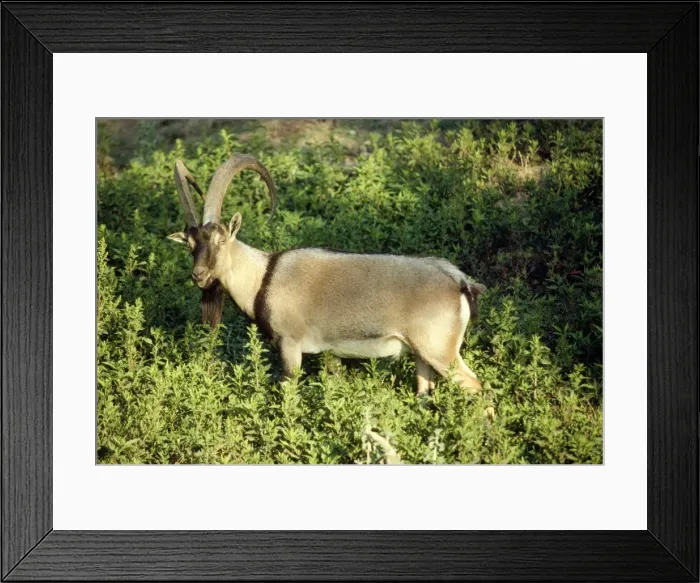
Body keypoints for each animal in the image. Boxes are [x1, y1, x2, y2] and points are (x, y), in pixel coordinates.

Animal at [168, 153, 487, 395]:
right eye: (191, 245)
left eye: (221, 240)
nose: (199, 275)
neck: (264, 277)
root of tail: (459, 283)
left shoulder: (290, 346)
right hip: (422, 355)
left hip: (440, 352)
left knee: (478, 389)